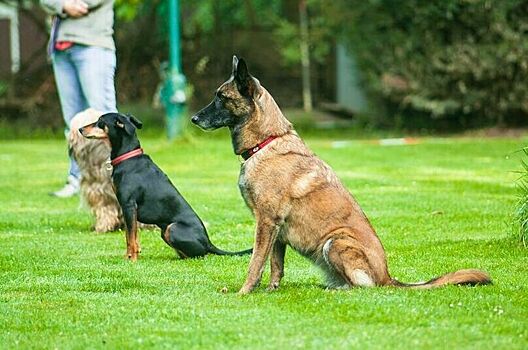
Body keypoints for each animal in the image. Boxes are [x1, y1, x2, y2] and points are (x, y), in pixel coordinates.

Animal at [79, 112, 253, 260]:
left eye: (100, 121)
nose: (80, 129)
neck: (128, 157)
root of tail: (209, 243)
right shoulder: (126, 209)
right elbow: (130, 236)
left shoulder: (129, 206)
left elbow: (131, 238)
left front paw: (132, 260)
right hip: (165, 232)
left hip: (172, 228)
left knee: (198, 256)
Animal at [192, 56, 492, 294]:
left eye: (221, 98)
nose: (194, 119)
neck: (266, 142)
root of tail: (387, 277)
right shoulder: (277, 232)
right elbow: (276, 265)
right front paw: (270, 291)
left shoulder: (266, 223)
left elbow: (256, 263)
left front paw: (244, 293)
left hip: (335, 242)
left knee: (362, 287)